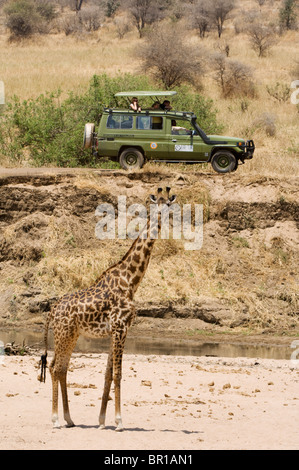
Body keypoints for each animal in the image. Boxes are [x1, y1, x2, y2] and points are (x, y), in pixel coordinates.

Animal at [38, 185, 177, 432]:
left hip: (71, 335)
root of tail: (52, 311)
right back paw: (55, 419)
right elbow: (118, 374)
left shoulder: (117, 330)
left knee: (61, 368)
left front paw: (102, 421)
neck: (131, 280)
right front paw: (119, 421)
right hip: (63, 334)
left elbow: (108, 374)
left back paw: (69, 419)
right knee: (55, 368)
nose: (161, 217)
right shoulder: (120, 328)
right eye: (156, 204)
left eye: (168, 204)